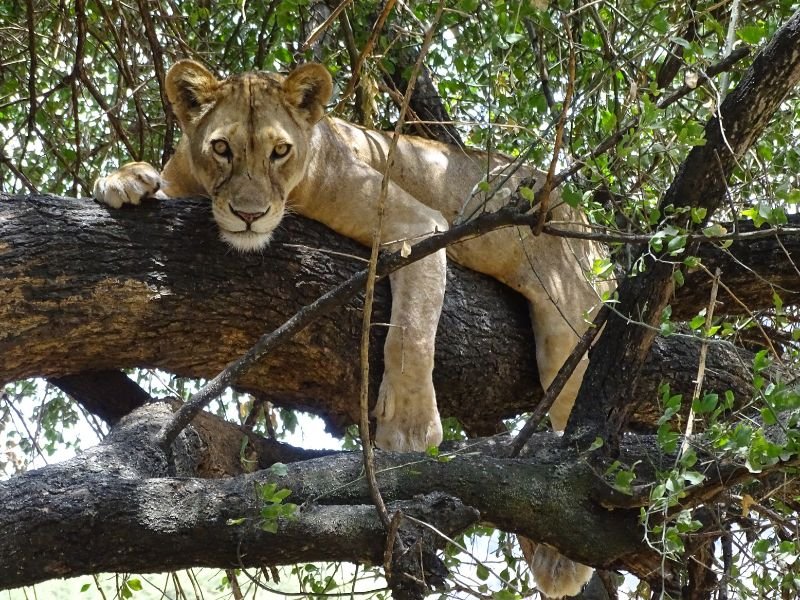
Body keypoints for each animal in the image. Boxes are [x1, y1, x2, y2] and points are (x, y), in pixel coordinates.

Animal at [93, 60, 609, 598]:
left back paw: (559, 559)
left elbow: (410, 331)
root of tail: (584, 214)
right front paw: (125, 179)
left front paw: (408, 428)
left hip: (568, 319)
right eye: (221, 148)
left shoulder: (416, 221)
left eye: (280, 151)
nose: (249, 215)